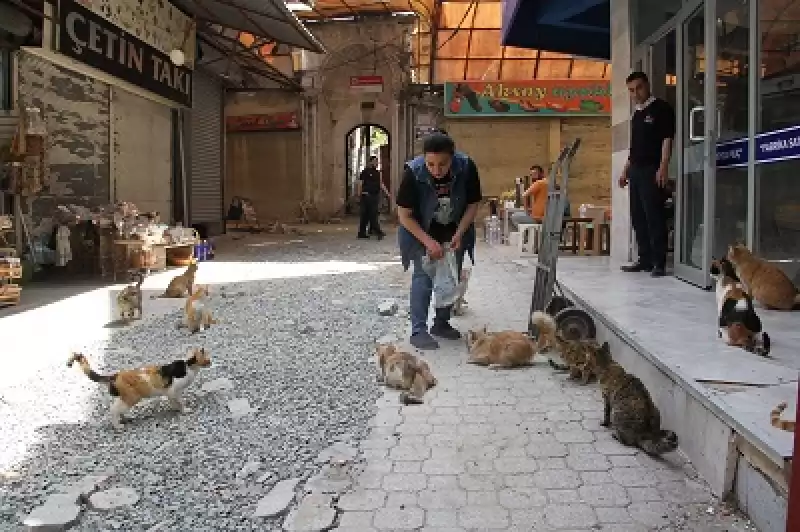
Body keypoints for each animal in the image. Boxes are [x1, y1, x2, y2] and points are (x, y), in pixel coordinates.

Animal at [65, 348, 211, 430]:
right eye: (206, 358)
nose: (211, 361)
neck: (188, 366)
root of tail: (115, 375)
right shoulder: (174, 391)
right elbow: (180, 401)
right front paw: (184, 410)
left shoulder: (170, 393)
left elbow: (173, 402)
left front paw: (175, 409)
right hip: (132, 398)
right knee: (113, 410)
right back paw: (118, 426)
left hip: (125, 398)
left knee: (117, 408)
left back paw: (125, 418)